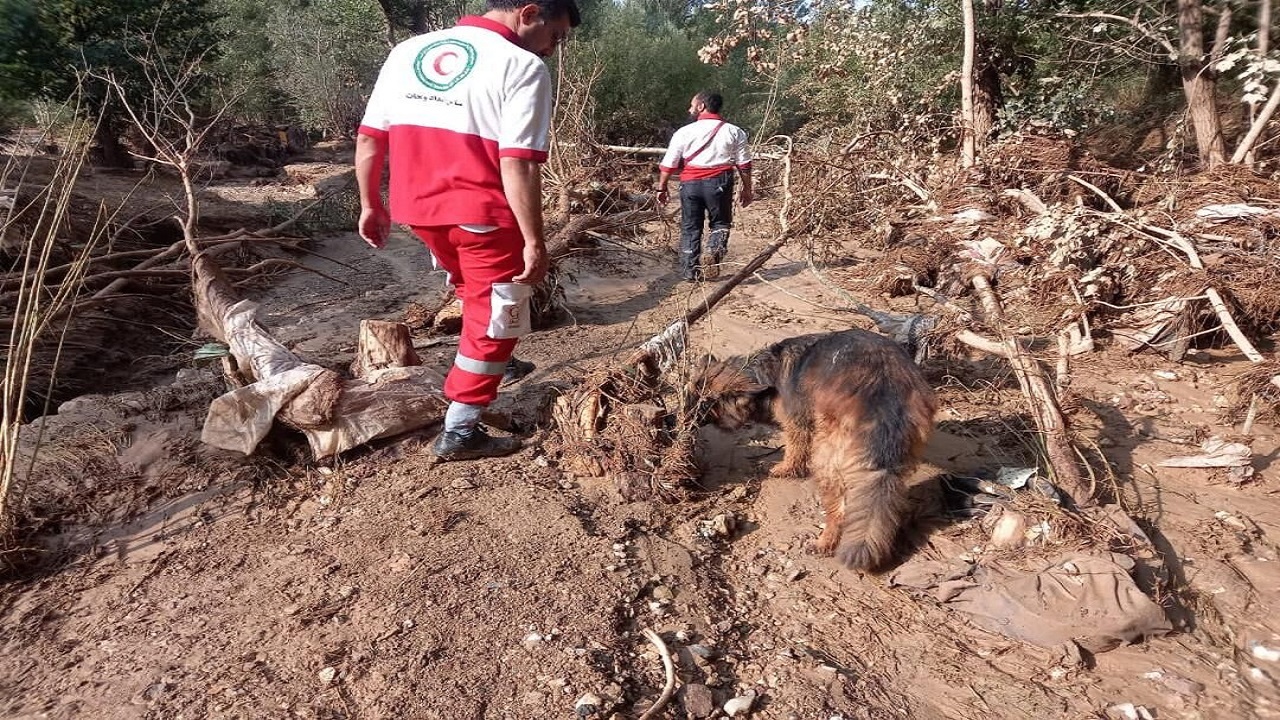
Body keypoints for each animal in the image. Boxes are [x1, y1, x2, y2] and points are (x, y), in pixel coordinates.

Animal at [691, 327, 942, 568]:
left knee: (839, 511)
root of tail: (886, 399)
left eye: (704, 403)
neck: (762, 376)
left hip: (827, 458)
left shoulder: (797, 422)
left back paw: (825, 542)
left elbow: (794, 448)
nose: (683, 420)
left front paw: (785, 469)